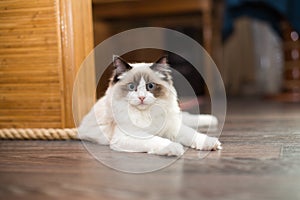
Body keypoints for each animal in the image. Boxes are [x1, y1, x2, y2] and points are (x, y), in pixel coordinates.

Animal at [77, 54, 221, 156]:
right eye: (132, 87)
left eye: (150, 86)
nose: (142, 97)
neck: (147, 114)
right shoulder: (128, 136)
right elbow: (157, 140)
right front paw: (174, 148)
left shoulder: (173, 128)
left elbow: (193, 134)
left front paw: (210, 143)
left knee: (187, 118)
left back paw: (211, 120)